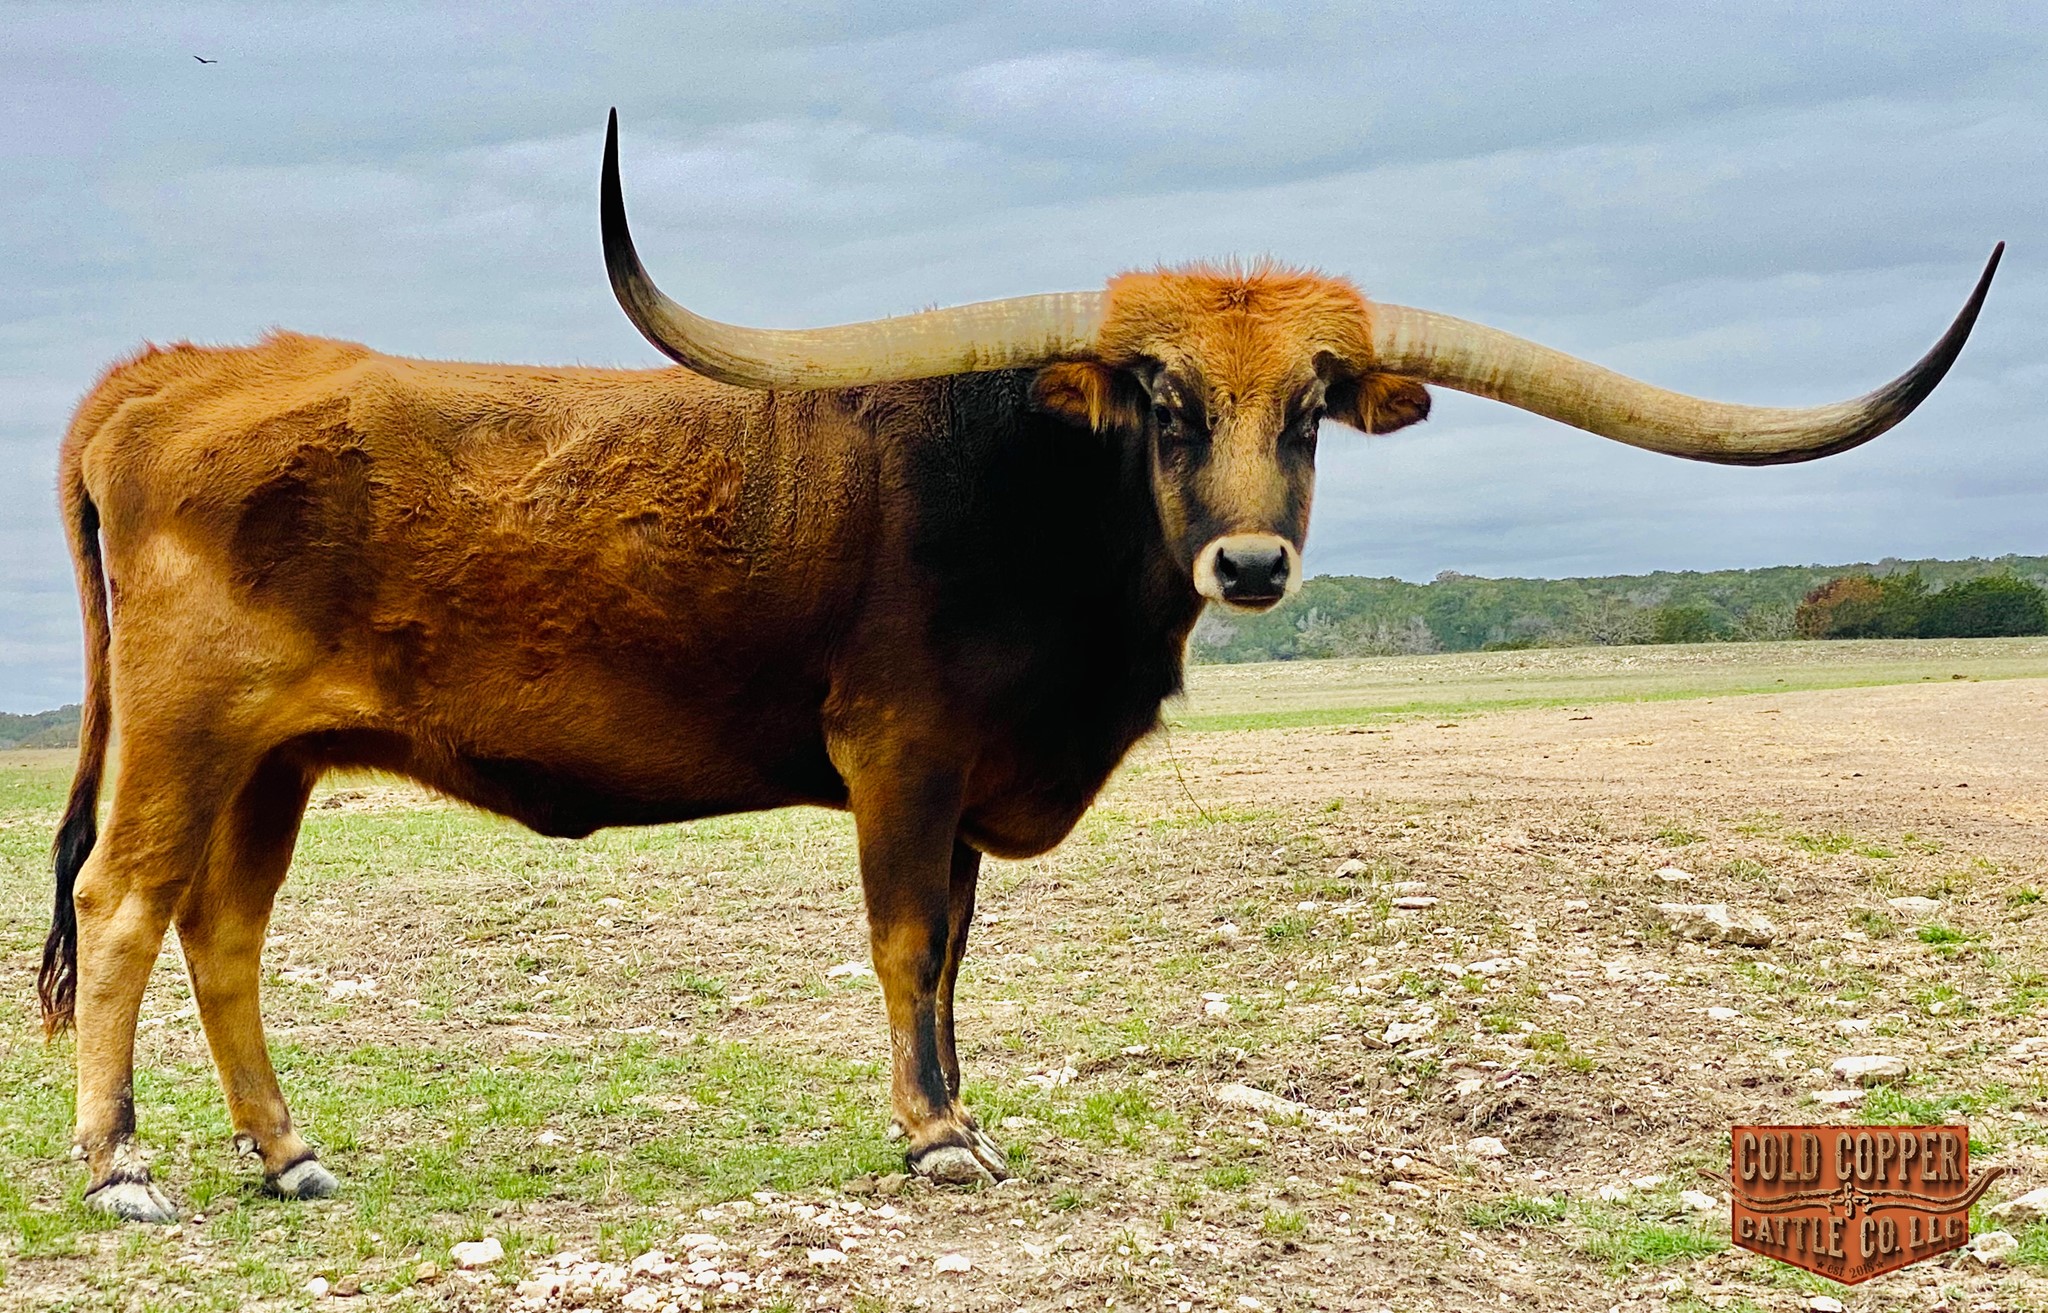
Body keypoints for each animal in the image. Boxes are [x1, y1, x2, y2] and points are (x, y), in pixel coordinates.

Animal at [40, 111, 2000, 1221]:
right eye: (1158, 395)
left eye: (1310, 404)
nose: (1250, 560)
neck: (1037, 507)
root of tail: (167, 373)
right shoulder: (901, 760)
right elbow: (909, 942)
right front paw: (936, 1139)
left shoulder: (975, 783)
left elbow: (958, 955)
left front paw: (958, 1109)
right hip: (187, 736)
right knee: (128, 911)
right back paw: (123, 1167)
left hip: (275, 761)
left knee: (223, 934)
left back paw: (287, 1153)